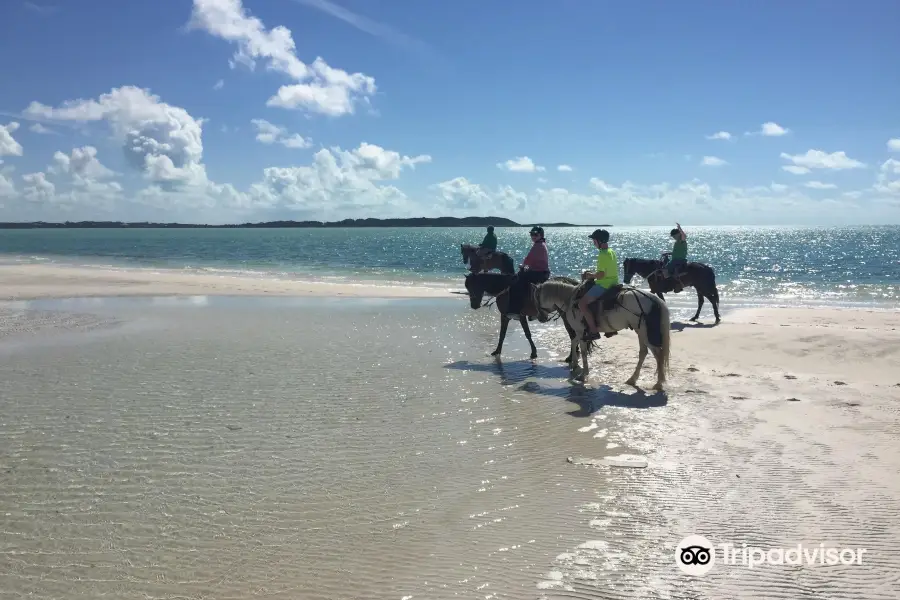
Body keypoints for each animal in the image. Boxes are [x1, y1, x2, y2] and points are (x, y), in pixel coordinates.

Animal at [464, 272, 596, 360]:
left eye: (471, 286)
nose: (473, 305)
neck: (506, 289)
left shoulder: (513, 316)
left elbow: (526, 334)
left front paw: (533, 353)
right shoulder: (507, 316)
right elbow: (502, 334)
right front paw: (497, 351)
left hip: (565, 316)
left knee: (572, 335)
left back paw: (570, 356)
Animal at [532, 278, 672, 390]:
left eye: (536, 298)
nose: (540, 317)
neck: (571, 300)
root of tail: (653, 299)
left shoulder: (580, 331)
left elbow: (583, 352)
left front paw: (583, 374)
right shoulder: (580, 333)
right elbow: (573, 342)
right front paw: (574, 364)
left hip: (644, 333)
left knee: (658, 354)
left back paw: (658, 383)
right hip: (640, 332)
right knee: (644, 352)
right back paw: (633, 379)